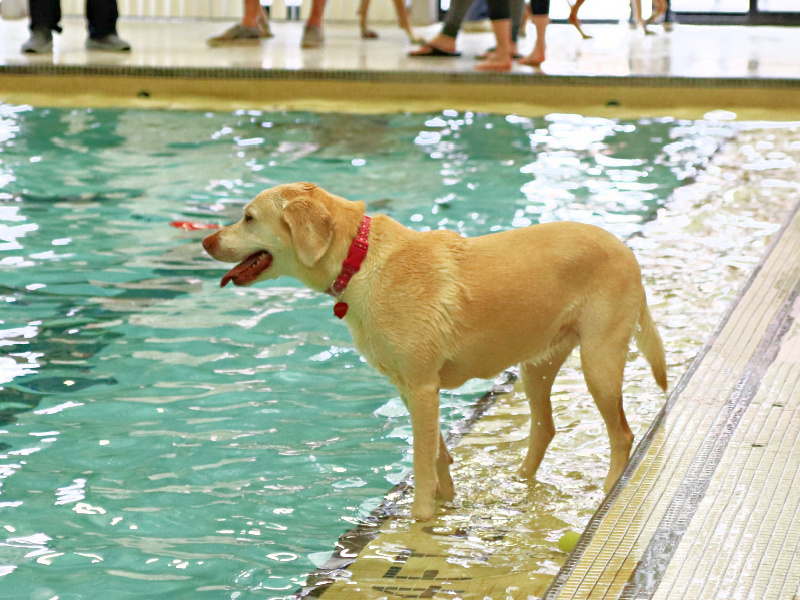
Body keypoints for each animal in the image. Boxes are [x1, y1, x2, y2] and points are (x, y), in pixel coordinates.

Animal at [203, 182, 664, 520]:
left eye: (248, 217)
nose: (206, 241)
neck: (360, 258)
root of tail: (627, 249)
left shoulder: (424, 388)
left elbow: (422, 462)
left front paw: (421, 520)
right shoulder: (410, 388)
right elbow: (439, 453)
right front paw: (447, 503)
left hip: (599, 362)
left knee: (622, 434)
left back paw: (609, 492)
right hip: (537, 364)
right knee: (545, 428)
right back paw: (520, 482)